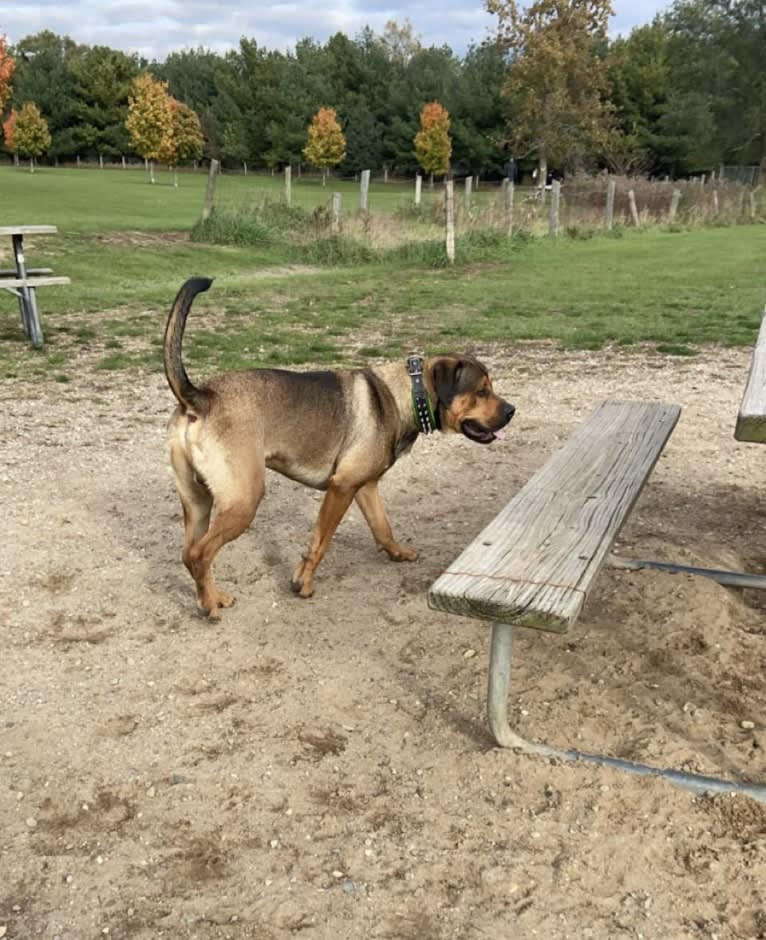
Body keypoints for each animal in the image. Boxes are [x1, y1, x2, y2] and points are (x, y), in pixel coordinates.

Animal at [165, 276, 520, 620]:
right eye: (482, 391)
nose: (512, 411)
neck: (405, 394)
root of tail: (201, 397)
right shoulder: (341, 487)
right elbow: (320, 542)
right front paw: (304, 584)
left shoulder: (365, 487)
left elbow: (382, 527)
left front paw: (397, 553)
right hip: (243, 500)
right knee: (199, 553)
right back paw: (209, 607)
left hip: (198, 502)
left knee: (187, 554)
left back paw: (213, 597)